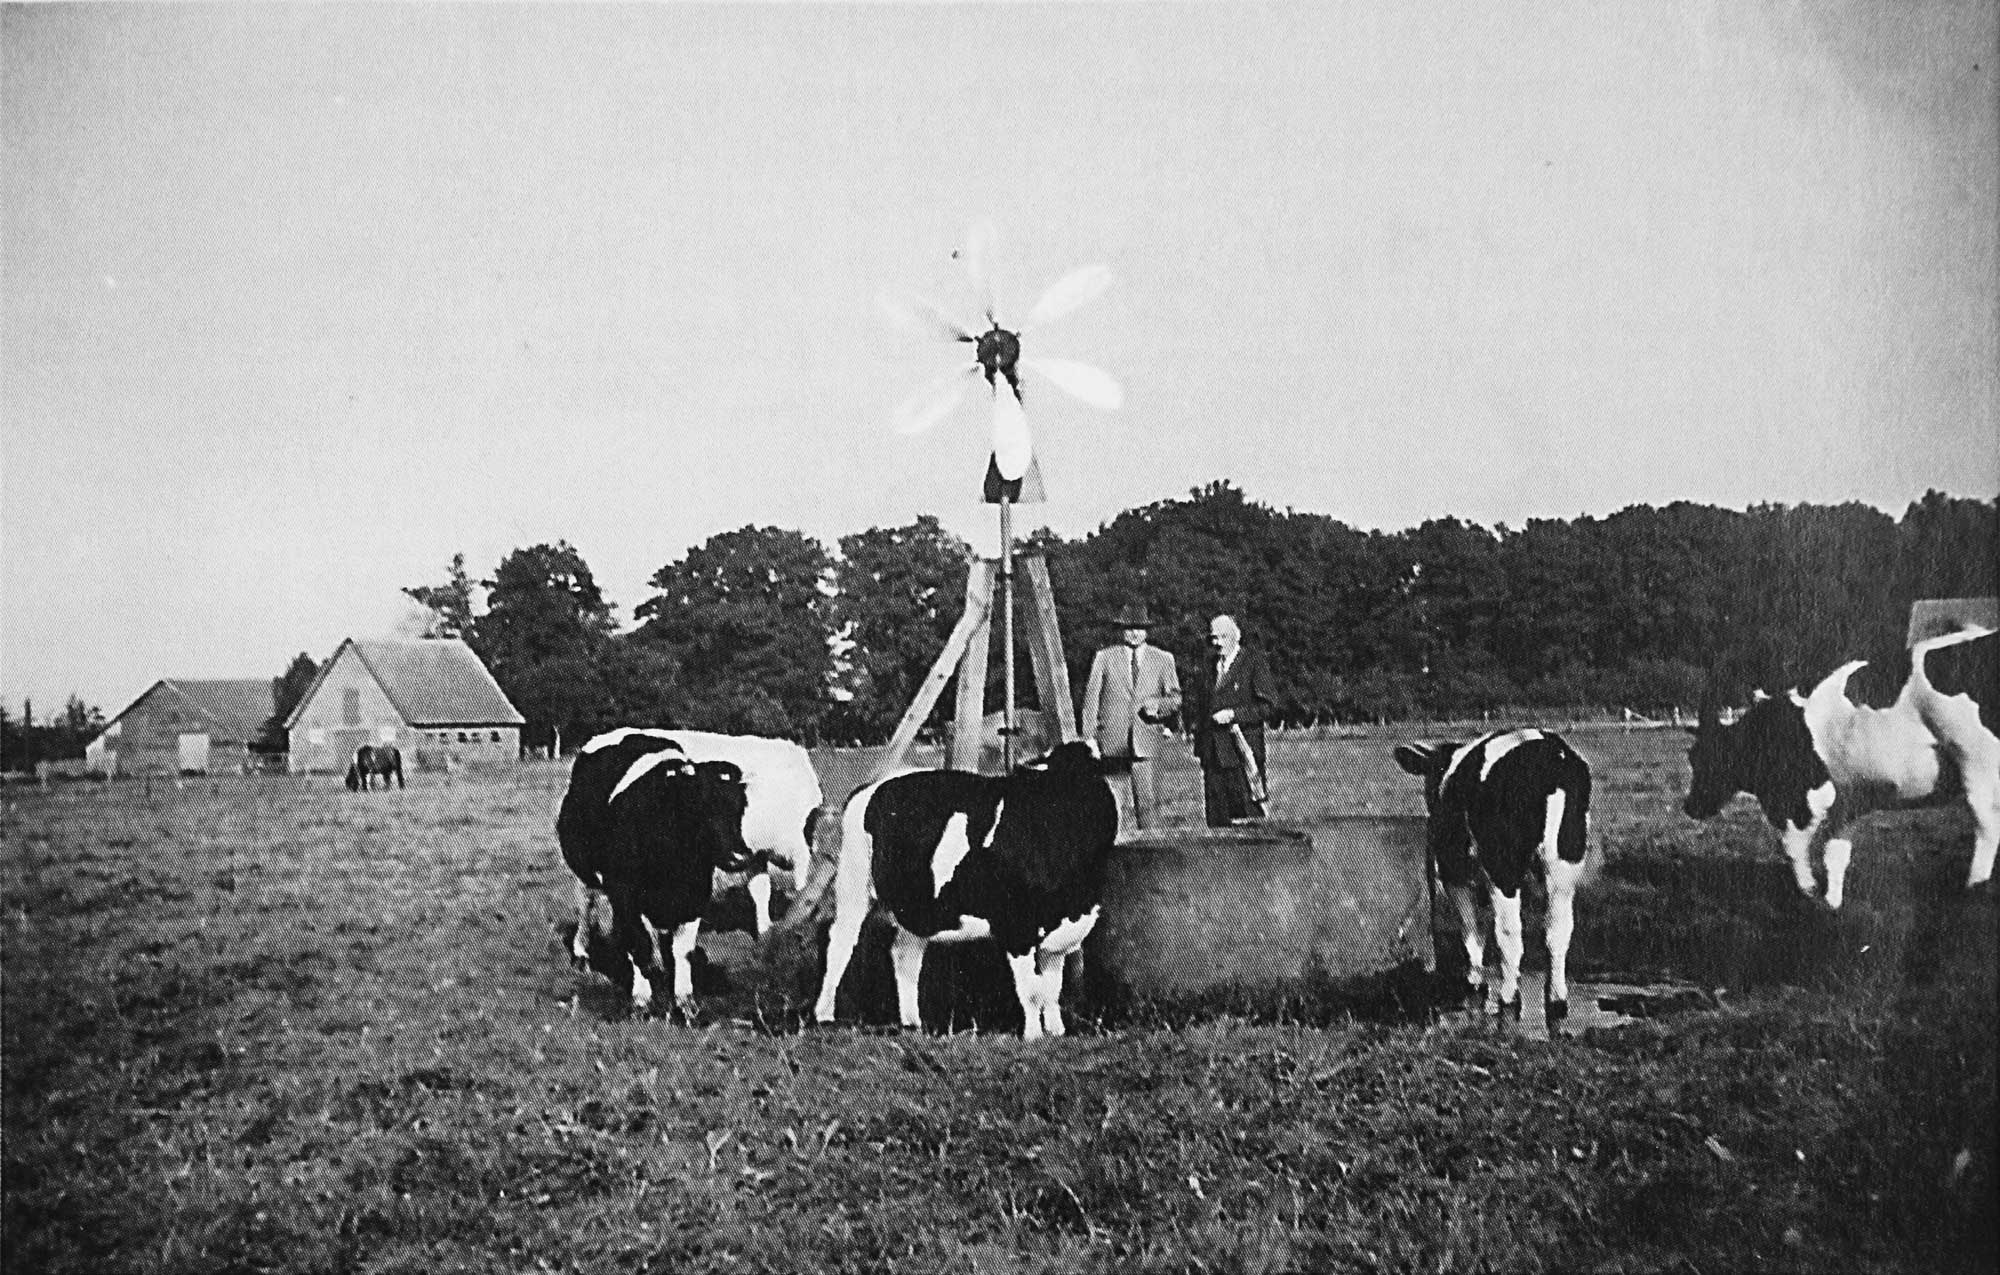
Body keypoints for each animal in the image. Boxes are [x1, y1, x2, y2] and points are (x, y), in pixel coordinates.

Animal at [560, 739, 752, 1019]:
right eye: (700, 805)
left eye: (741, 807)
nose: (740, 856)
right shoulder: (624, 891)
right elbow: (639, 942)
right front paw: (641, 1000)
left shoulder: (695, 894)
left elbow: (682, 951)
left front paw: (685, 1002)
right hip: (585, 872)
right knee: (587, 905)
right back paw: (581, 953)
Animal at [816, 743, 1128, 1047]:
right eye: (1051, 777)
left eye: (1091, 771)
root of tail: (874, 785)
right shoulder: (1017, 927)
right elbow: (1030, 989)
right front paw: (1033, 1036)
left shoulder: (1065, 928)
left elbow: (1052, 988)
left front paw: (1056, 1031)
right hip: (853, 881)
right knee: (840, 943)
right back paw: (824, 1015)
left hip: (920, 907)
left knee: (905, 954)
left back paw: (913, 1023)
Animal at [1392, 727, 1592, 1031]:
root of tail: (1549, 754)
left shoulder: (1454, 874)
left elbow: (1470, 926)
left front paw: (1475, 980)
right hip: (1562, 867)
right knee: (1558, 930)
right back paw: (1556, 999)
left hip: (1503, 869)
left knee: (1510, 933)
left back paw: (1508, 997)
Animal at [1680, 627, 1992, 911]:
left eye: (1702, 758)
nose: (1689, 807)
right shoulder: (1846, 802)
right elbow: (1836, 852)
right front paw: (1831, 904)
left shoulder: (1797, 799)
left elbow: (1793, 847)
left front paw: (1809, 892)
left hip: (1977, 761)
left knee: (1987, 825)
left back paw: (1974, 890)